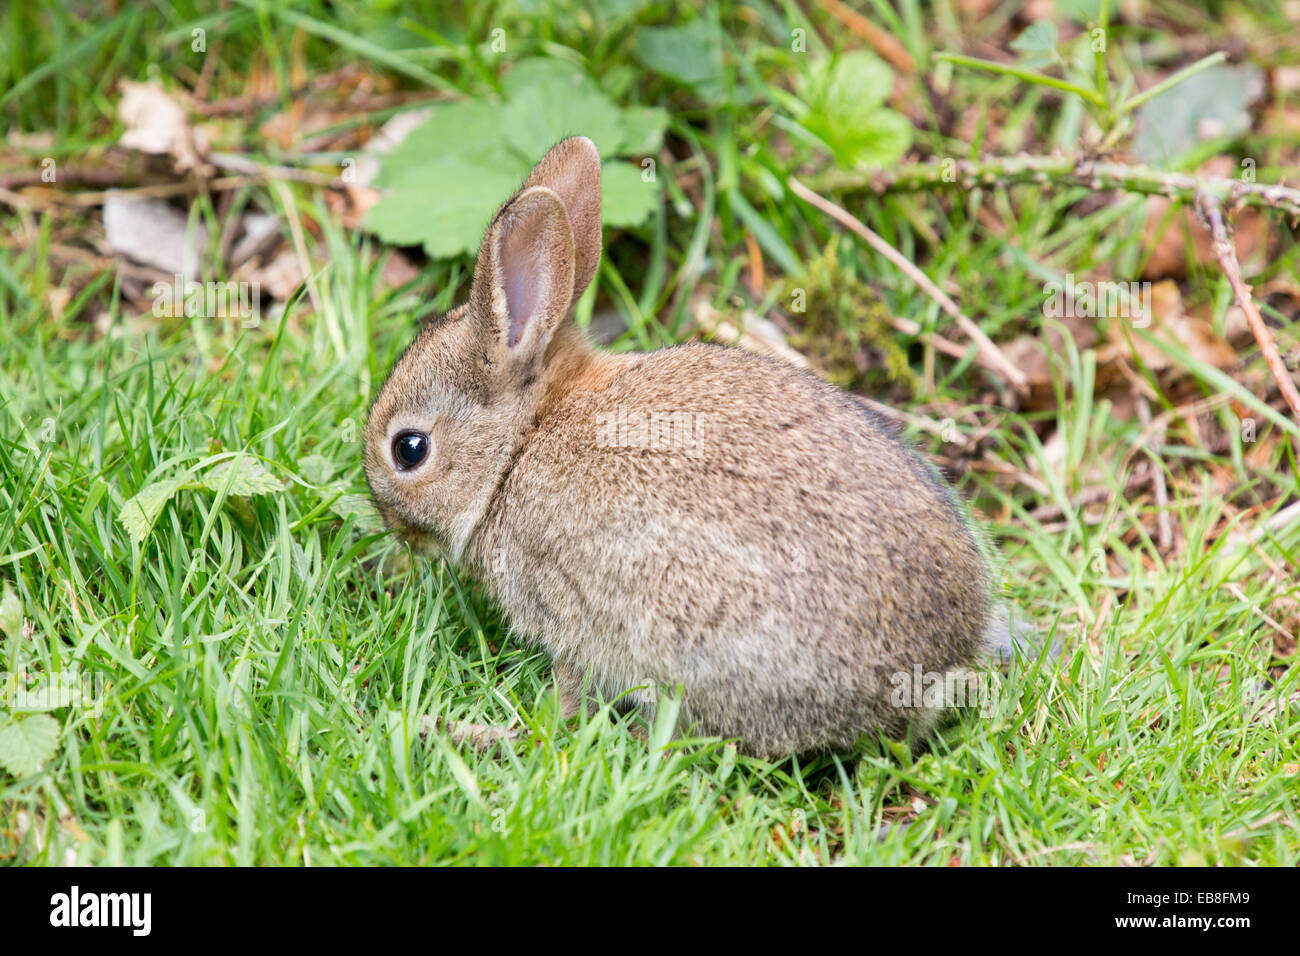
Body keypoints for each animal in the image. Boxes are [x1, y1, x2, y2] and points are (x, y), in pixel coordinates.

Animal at [364, 136, 999, 759]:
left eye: (410, 449)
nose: (395, 530)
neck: (519, 446)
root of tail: (935, 672)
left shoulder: (569, 612)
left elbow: (569, 698)